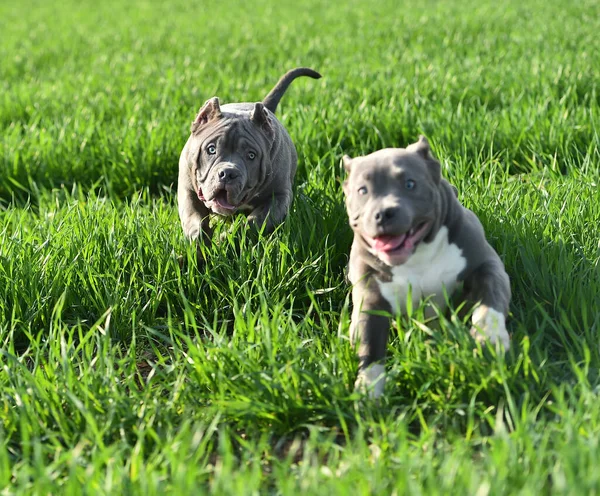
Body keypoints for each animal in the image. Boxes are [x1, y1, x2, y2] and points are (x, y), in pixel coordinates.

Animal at [177, 68, 322, 242]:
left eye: (251, 155)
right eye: (211, 149)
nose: (228, 174)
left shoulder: (278, 199)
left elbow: (253, 223)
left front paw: (227, 239)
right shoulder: (187, 190)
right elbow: (193, 217)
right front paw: (200, 241)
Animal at [342, 137, 510, 400]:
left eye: (410, 184)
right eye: (363, 190)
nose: (383, 213)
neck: (417, 257)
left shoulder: (486, 264)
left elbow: (491, 294)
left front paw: (489, 334)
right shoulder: (370, 297)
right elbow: (369, 342)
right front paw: (369, 389)